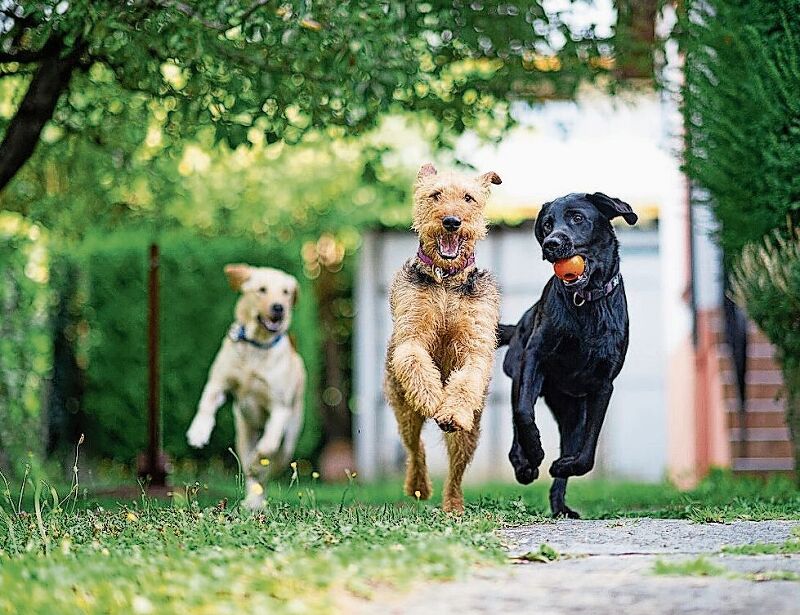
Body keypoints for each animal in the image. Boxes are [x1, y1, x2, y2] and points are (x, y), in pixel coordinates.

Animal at [188, 264, 306, 510]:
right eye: (262, 290)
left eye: (286, 292)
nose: (279, 308)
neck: (257, 346)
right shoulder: (218, 382)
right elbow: (206, 405)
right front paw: (198, 432)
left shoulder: (280, 408)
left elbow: (268, 446)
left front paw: (258, 461)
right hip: (243, 433)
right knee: (251, 467)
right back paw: (252, 500)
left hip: (289, 441)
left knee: (269, 467)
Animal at [382, 164, 500, 516]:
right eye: (435, 194)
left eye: (469, 197)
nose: (451, 221)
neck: (447, 280)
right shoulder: (411, 335)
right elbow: (415, 361)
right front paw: (435, 398)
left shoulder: (475, 347)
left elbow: (466, 379)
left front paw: (449, 407)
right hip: (403, 409)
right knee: (414, 448)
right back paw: (419, 486)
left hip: (469, 431)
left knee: (455, 471)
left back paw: (453, 505)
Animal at [500, 192, 636, 520]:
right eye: (548, 224)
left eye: (577, 218)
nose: (551, 243)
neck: (585, 301)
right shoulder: (534, 358)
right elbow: (524, 414)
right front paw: (534, 452)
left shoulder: (603, 385)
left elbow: (587, 453)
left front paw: (563, 466)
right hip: (519, 374)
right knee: (516, 423)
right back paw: (523, 464)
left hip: (573, 412)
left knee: (571, 445)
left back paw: (560, 504)